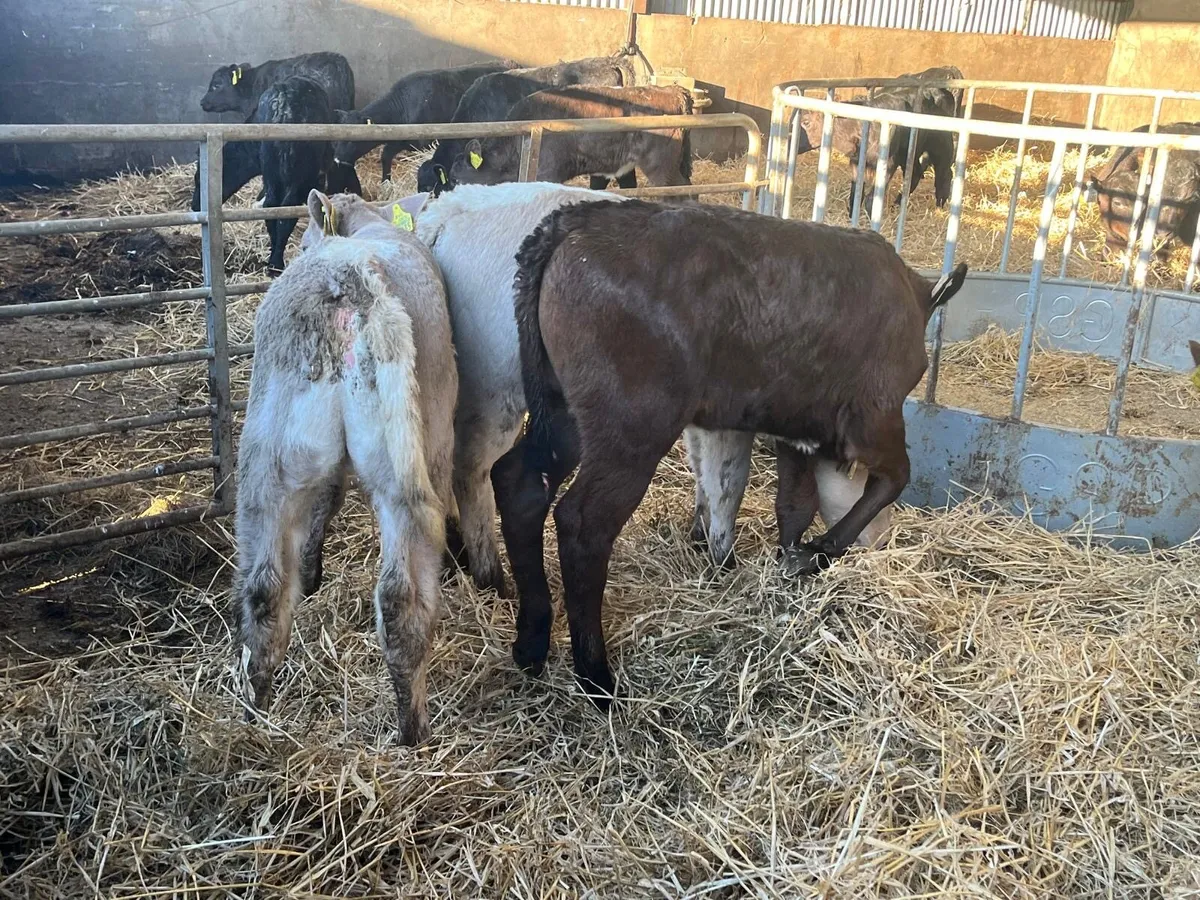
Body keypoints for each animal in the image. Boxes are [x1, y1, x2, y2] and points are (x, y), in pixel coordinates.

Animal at [234, 188, 456, 746]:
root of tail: (346, 280)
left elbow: (325, 503)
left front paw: (312, 570)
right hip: (408, 461)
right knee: (401, 597)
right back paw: (413, 731)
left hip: (269, 455)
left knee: (264, 589)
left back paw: (254, 716)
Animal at [331, 61, 518, 182]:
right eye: (337, 138)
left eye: (353, 139)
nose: (337, 160)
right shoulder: (400, 141)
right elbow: (385, 155)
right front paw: (386, 181)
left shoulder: (424, 143)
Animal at [490, 199, 967, 705]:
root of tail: (571, 222)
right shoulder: (873, 418)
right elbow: (895, 477)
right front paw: (819, 550)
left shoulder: (797, 427)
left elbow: (795, 502)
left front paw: (789, 557)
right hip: (631, 428)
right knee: (583, 523)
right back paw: (596, 675)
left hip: (565, 412)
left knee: (519, 483)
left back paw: (532, 643)